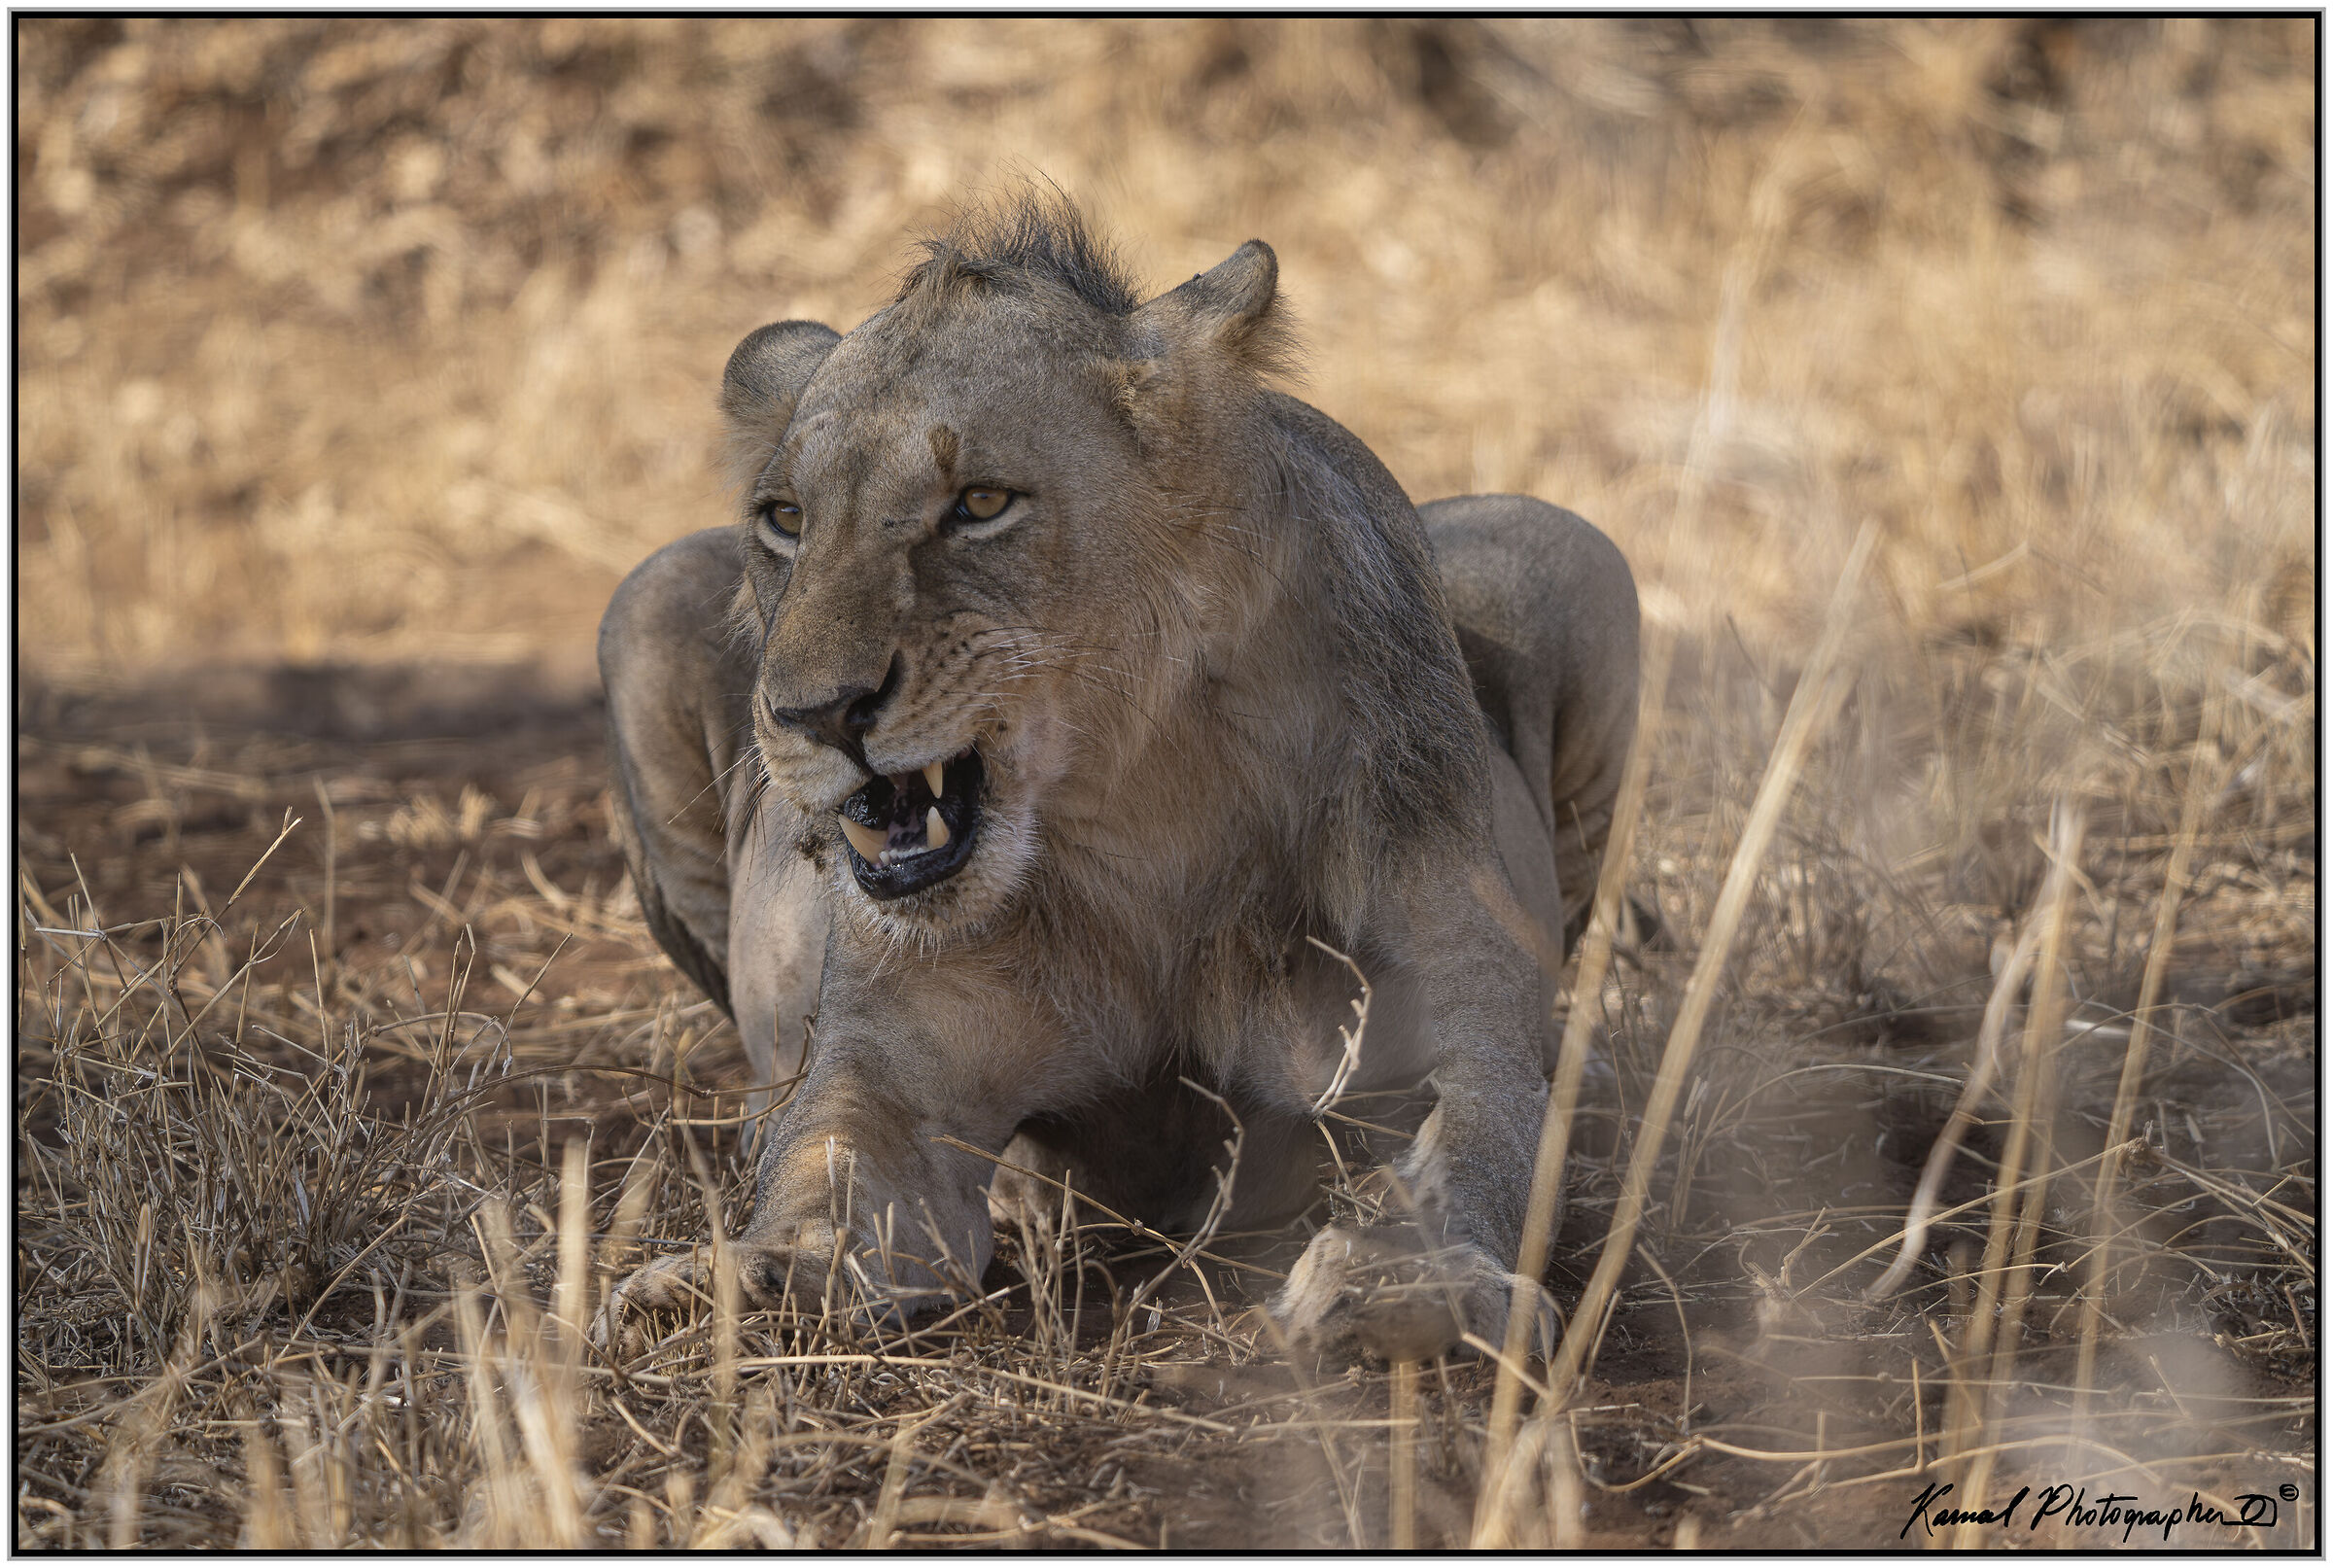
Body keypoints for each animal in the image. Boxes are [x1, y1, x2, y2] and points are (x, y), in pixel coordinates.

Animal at [594, 196, 1641, 1362]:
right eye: (784, 519)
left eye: (982, 502)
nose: (814, 713)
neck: (1135, 796)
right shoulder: (894, 1067)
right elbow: (831, 1170)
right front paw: (737, 1282)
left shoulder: (1450, 1032)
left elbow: (1473, 1147)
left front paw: (1407, 1290)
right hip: (645, 603)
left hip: (1575, 553)